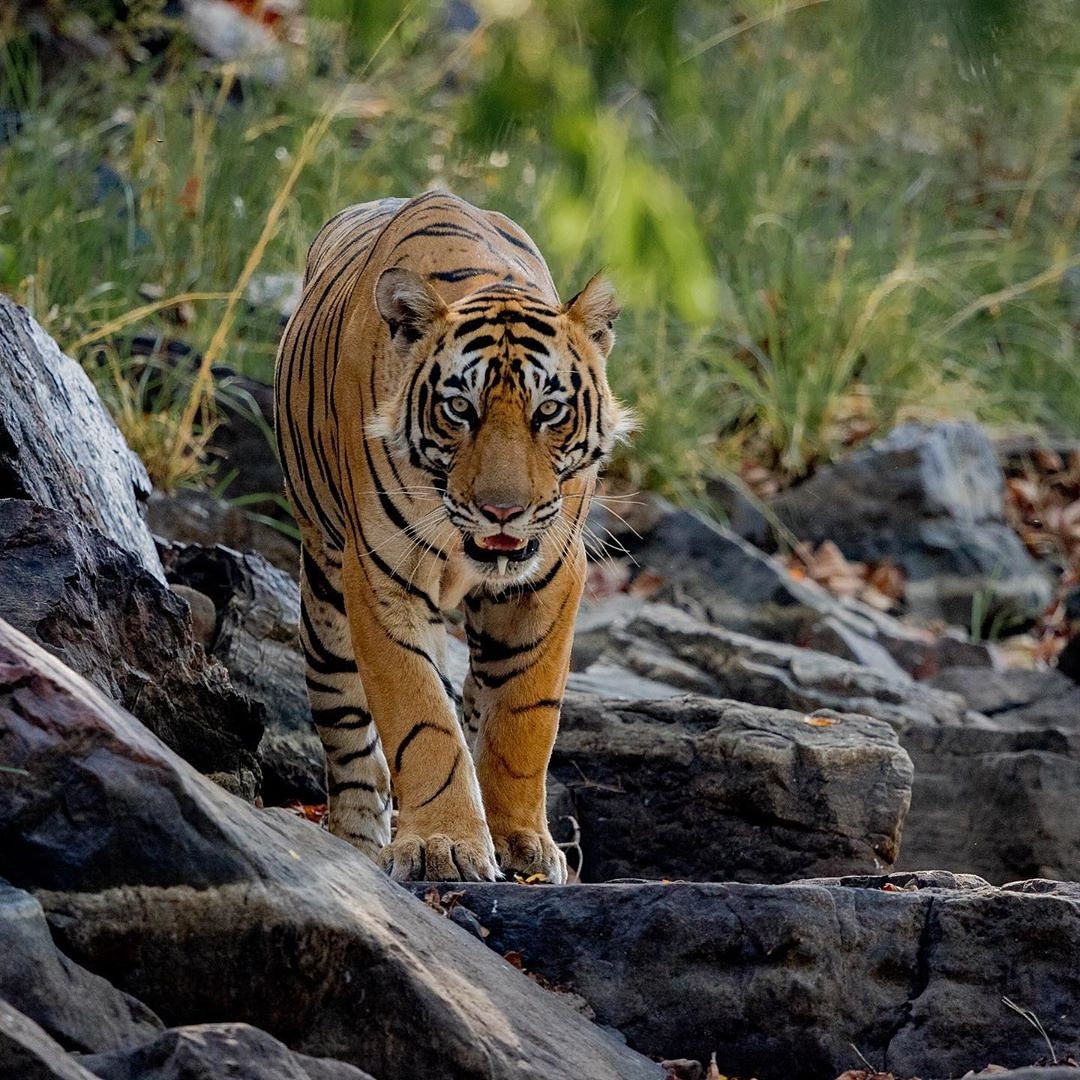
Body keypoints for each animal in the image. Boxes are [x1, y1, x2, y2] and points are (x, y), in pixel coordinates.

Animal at [274, 190, 630, 883]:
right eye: (459, 409)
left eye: (549, 411)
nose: (502, 511)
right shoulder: (379, 578)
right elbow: (422, 717)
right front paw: (443, 843)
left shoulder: (551, 579)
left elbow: (523, 719)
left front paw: (521, 840)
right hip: (325, 601)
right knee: (348, 729)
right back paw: (359, 841)